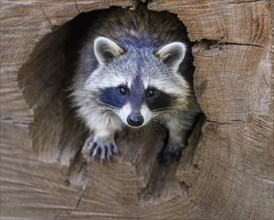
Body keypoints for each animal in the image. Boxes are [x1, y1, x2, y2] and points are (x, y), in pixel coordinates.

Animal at [70, 4, 201, 164]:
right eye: (122, 90)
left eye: (151, 91)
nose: (134, 120)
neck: (140, 43)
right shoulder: (86, 67)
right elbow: (88, 103)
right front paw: (104, 132)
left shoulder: (188, 75)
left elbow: (186, 110)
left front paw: (177, 135)